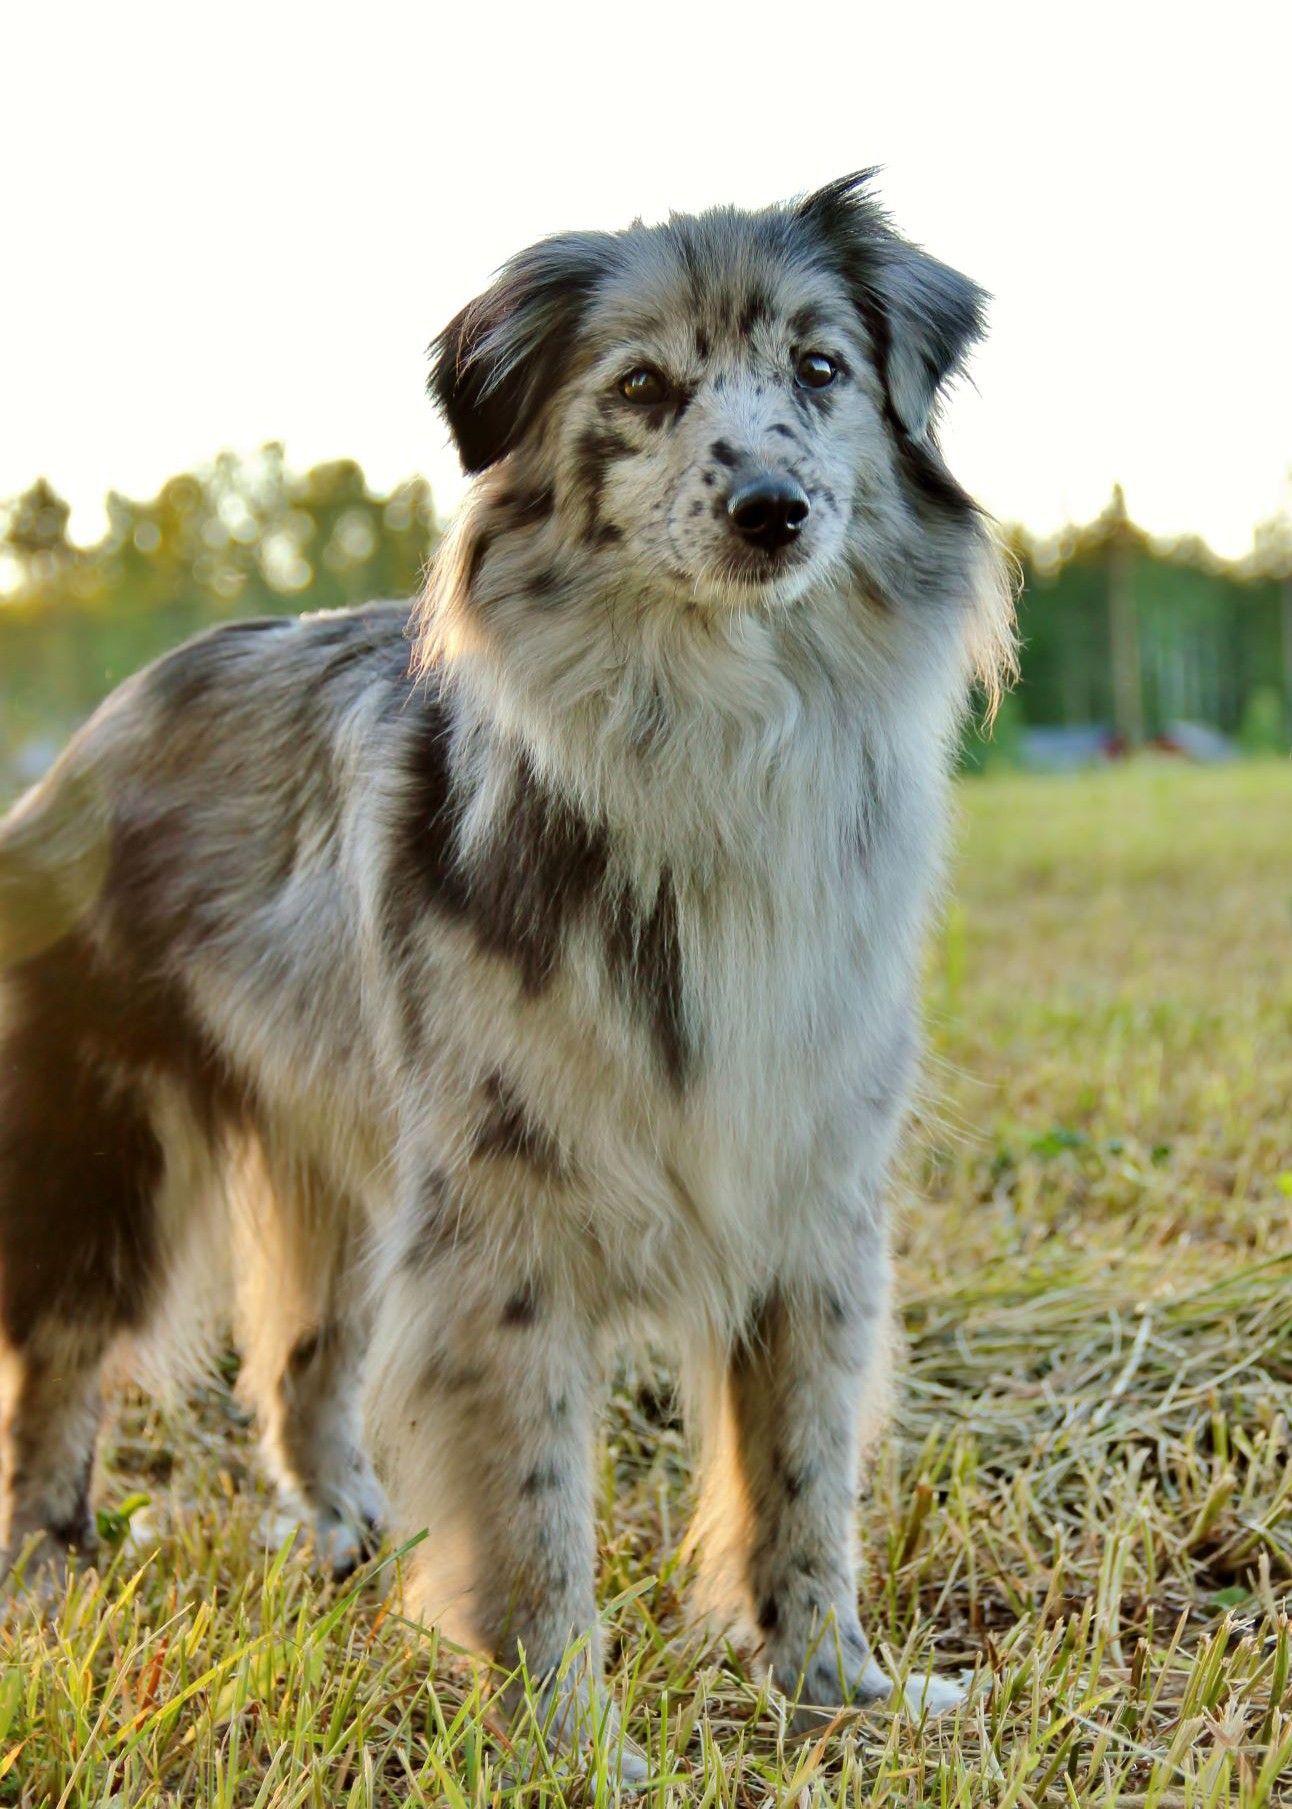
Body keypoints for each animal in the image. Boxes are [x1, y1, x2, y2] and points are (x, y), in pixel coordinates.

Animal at [0, 176, 1006, 1772]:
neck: (720, 734)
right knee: (56, 1361)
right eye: (642, 389)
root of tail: (101, 721)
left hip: (348, 1171)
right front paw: (570, 1738)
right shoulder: (500, 1232)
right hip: (107, 1151)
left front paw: (835, 1687)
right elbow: (536, 1516)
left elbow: (802, 1477)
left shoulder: (812, 1203)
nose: (770, 510)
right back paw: (45, 1568)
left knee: (300, 1363)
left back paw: (345, 1532)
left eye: (822, 370)